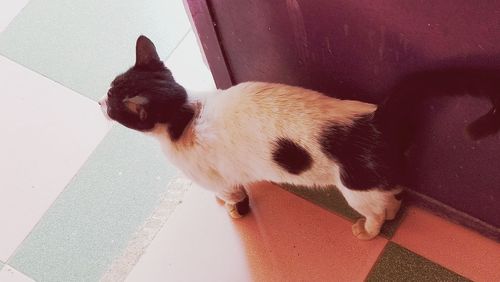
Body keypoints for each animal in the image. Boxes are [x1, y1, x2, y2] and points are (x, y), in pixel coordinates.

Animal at [99, 35, 500, 240]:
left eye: (112, 99)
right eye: (109, 88)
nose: (101, 101)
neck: (184, 115)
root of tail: (375, 115)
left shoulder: (219, 178)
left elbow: (234, 196)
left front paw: (232, 210)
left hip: (356, 189)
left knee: (378, 209)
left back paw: (368, 231)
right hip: (378, 180)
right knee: (395, 199)